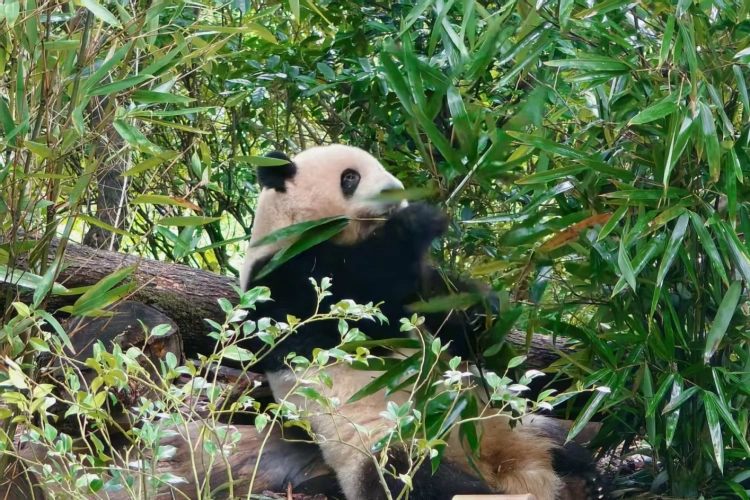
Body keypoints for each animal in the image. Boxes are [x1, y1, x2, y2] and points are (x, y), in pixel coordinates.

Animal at [238, 144, 605, 500]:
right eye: (350, 177)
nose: (395, 192)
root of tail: (496, 468)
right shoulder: (285, 280)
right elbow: (360, 313)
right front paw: (418, 220)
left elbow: (443, 317)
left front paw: (481, 310)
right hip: (389, 443)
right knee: (416, 480)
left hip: (514, 420)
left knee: (562, 444)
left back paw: (589, 481)